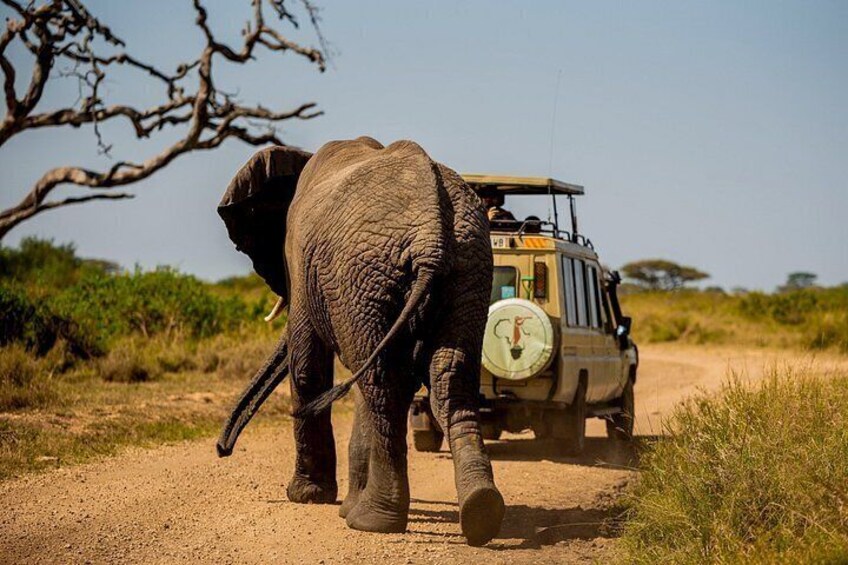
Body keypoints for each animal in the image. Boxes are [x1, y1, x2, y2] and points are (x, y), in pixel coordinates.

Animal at [215, 136, 505, 546]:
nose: (222, 450)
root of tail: (432, 235)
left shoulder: (300, 260)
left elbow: (307, 369)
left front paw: (307, 496)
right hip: (466, 269)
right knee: (447, 380)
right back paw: (481, 513)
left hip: (366, 274)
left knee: (382, 384)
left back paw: (371, 521)